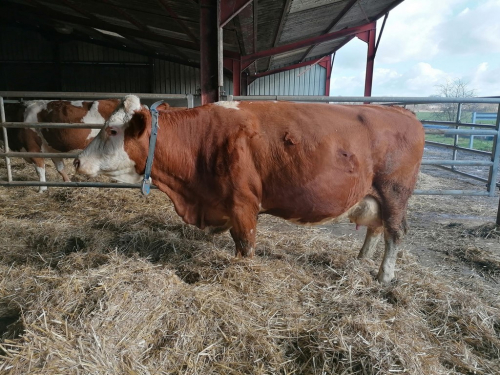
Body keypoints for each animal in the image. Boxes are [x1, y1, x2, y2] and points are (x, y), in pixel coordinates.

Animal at [75, 95, 426, 284]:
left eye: (112, 130)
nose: (77, 161)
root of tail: (401, 111)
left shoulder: (243, 205)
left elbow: (246, 246)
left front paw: (243, 272)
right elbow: (235, 243)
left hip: (394, 193)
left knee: (395, 233)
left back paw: (383, 276)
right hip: (374, 196)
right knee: (376, 228)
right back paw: (360, 260)